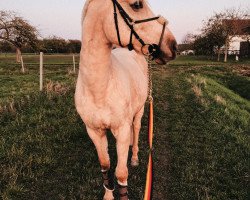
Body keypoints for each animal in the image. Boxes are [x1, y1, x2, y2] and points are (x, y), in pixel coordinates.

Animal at [74, 0, 176, 199]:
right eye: (137, 5)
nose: (173, 46)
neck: (99, 90)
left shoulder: (121, 130)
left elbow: (121, 173)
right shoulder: (94, 132)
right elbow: (105, 166)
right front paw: (108, 194)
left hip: (140, 111)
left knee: (135, 129)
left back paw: (134, 156)